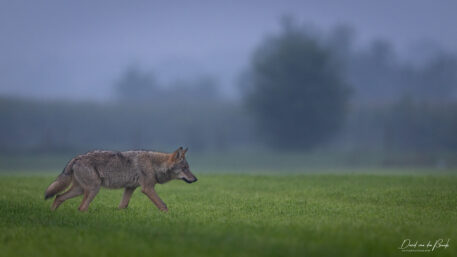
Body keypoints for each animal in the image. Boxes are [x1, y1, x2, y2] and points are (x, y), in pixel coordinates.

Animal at [43, 147, 198, 211]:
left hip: (80, 190)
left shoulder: (129, 188)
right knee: (81, 207)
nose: (196, 179)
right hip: (93, 189)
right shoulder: (147, 189)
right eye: (185, 168)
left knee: (58, 197)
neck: (153, 164)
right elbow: (163, 205)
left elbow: (122, 206)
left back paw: (52, 214)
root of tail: (76, 158)